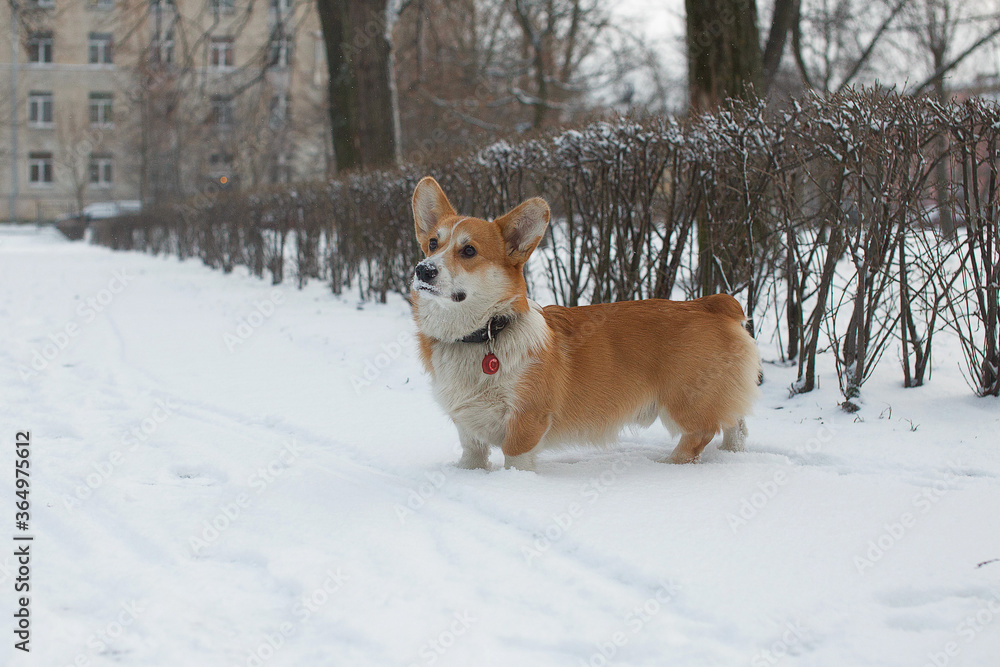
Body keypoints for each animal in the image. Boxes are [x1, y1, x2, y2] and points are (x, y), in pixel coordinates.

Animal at [410, 175, 760, 472]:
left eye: (469, 250)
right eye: (433, 244)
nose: (423, 269)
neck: (482, 333)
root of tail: (712, 303)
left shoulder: (526, 420)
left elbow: (516, 459)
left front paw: (515, 485)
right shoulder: (468, 427)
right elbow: (472, 456)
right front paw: (467, 475)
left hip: (684, 400)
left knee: (702, 432)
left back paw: (669, 465)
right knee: (737, 423)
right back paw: (732, 454)